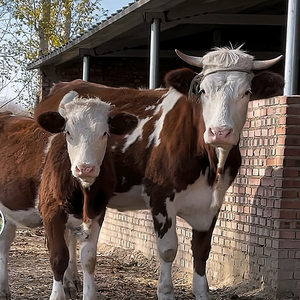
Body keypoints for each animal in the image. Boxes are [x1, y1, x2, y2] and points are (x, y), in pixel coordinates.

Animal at [0, 92, 138, 300]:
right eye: (68, 132)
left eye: (104, 133)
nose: (85, 168)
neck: (83, 194)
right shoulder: (51, 212)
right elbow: (58, 257)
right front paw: (57, 295)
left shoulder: (98, 212)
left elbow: (89, 259)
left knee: (4, 241)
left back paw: (4, 289)